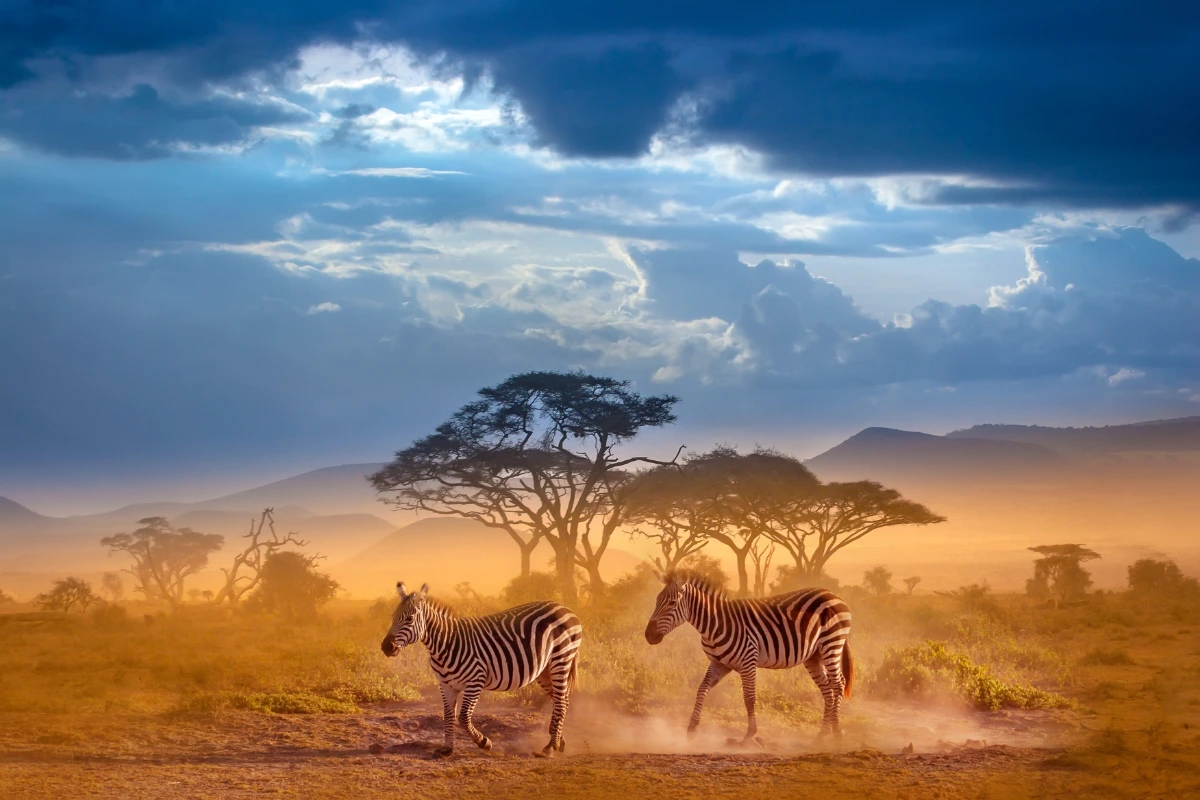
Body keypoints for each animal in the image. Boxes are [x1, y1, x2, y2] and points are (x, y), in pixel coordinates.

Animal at [380, 581, 583, 758]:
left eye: (409, 619)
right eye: (392, 617)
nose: (386, 647)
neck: (445, 644)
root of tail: (565, 607)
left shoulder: (475, 681)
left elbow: (463, 717)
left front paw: (484, 742)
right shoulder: (446, 685)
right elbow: (448, 716)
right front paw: (447, 749)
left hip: (561, 658)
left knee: (561, 701)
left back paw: (550, 747)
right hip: (545, 670)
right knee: (562, 699)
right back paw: (558, 741)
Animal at [643, 569, 853, 745]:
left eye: (672, 603)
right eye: (657, 600)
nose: (648, 635)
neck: (715, 625)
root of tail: (832, 594)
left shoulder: (748, 662)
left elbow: (749, 698)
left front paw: (749, 735)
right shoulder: (719, 664)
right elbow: (701, 689)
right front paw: (692, 729)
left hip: (831, 644)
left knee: (838, 683)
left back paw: (837, 733)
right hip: (813, 656)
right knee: (827, 688)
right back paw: (822, 735)